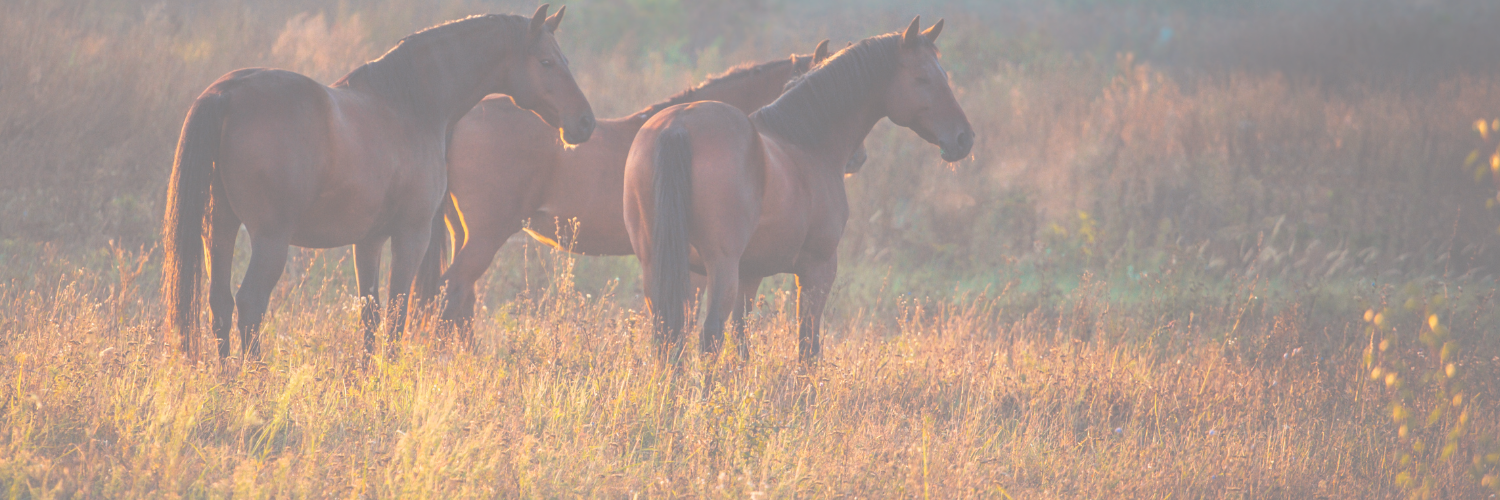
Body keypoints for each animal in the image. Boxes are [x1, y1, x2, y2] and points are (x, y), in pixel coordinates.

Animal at [158, 5, 591, 360]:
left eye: (566, 60)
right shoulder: (411, 236)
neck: (409, 104)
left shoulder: (368, 241)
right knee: (249, 304)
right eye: (547, 61)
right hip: (269, 240)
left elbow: (371, 315)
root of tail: (226, 93)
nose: (585, 122)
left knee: (219, 303)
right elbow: (397, 315)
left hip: (220, 228)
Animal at [621, 16, 972, 361]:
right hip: (719, 266)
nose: (963, 138)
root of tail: (678, 125)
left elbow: (742, 343)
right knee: (709, 336)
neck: (806, 141)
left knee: (669, 338)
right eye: (923, 78)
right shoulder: (818, 268)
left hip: (660, 266)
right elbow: (808, 346)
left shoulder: (750, 273)